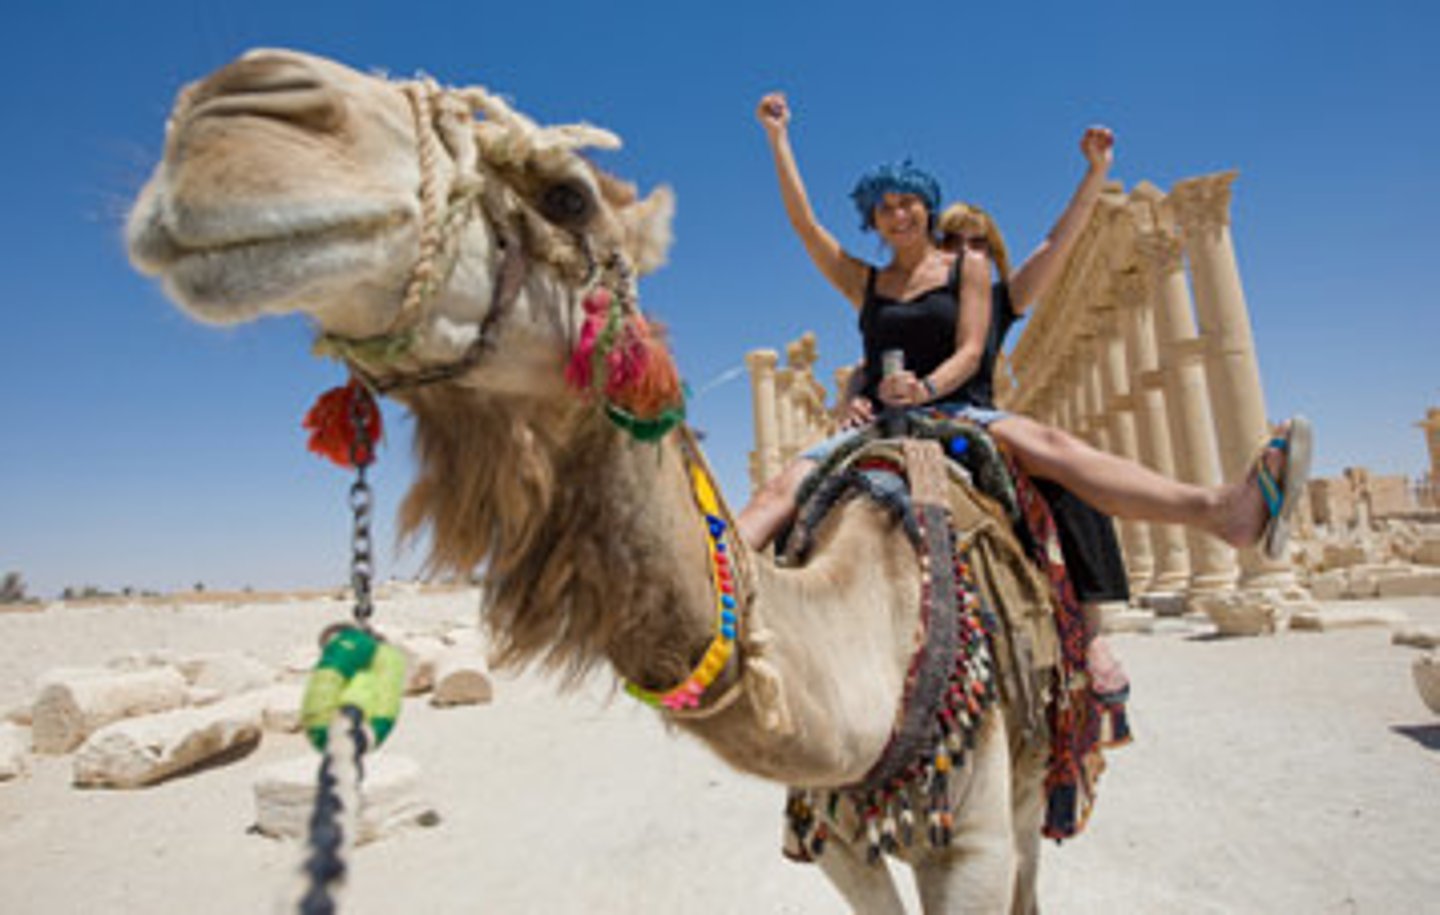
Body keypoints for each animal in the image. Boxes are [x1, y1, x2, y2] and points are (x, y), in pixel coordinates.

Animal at [127, 48, 1092, 913]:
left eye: (569, 194)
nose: (227, 118)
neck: (877, 633)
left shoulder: (968, 834)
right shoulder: (832, 832)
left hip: (1037, 763)